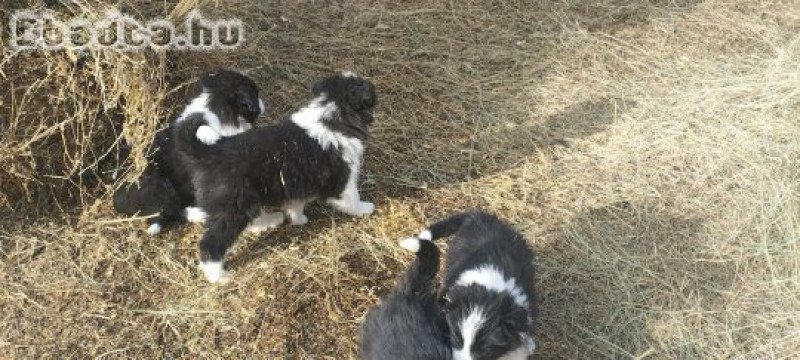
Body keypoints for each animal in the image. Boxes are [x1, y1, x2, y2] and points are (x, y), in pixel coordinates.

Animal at [173, 71, 378, 282]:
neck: (330, 118)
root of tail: (208, 152)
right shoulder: (344, 179)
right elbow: (352, 199)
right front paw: (365, 208)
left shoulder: (296, 182)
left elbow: (296, 204)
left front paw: (298, 219)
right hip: (233, 208)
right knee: (211, 244)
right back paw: (219, 277)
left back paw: (271, 220)